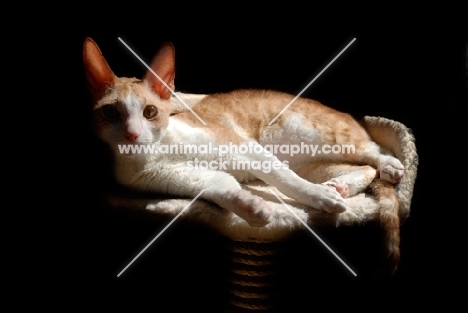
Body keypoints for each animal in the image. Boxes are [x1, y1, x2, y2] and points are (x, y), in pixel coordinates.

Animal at [84, 37, 406, 272]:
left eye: (149, 111)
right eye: (110, 112)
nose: (132, 135)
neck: (157, 151)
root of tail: (353, 116)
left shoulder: (245, 148)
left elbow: (284, 180)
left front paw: (317, 198)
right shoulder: (187, 179)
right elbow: (221, 187)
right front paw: (252, 208)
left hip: (313, 135)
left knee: (374, 151)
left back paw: (387, 166)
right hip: (312, 161)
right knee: (362, 169)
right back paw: (340, 186)